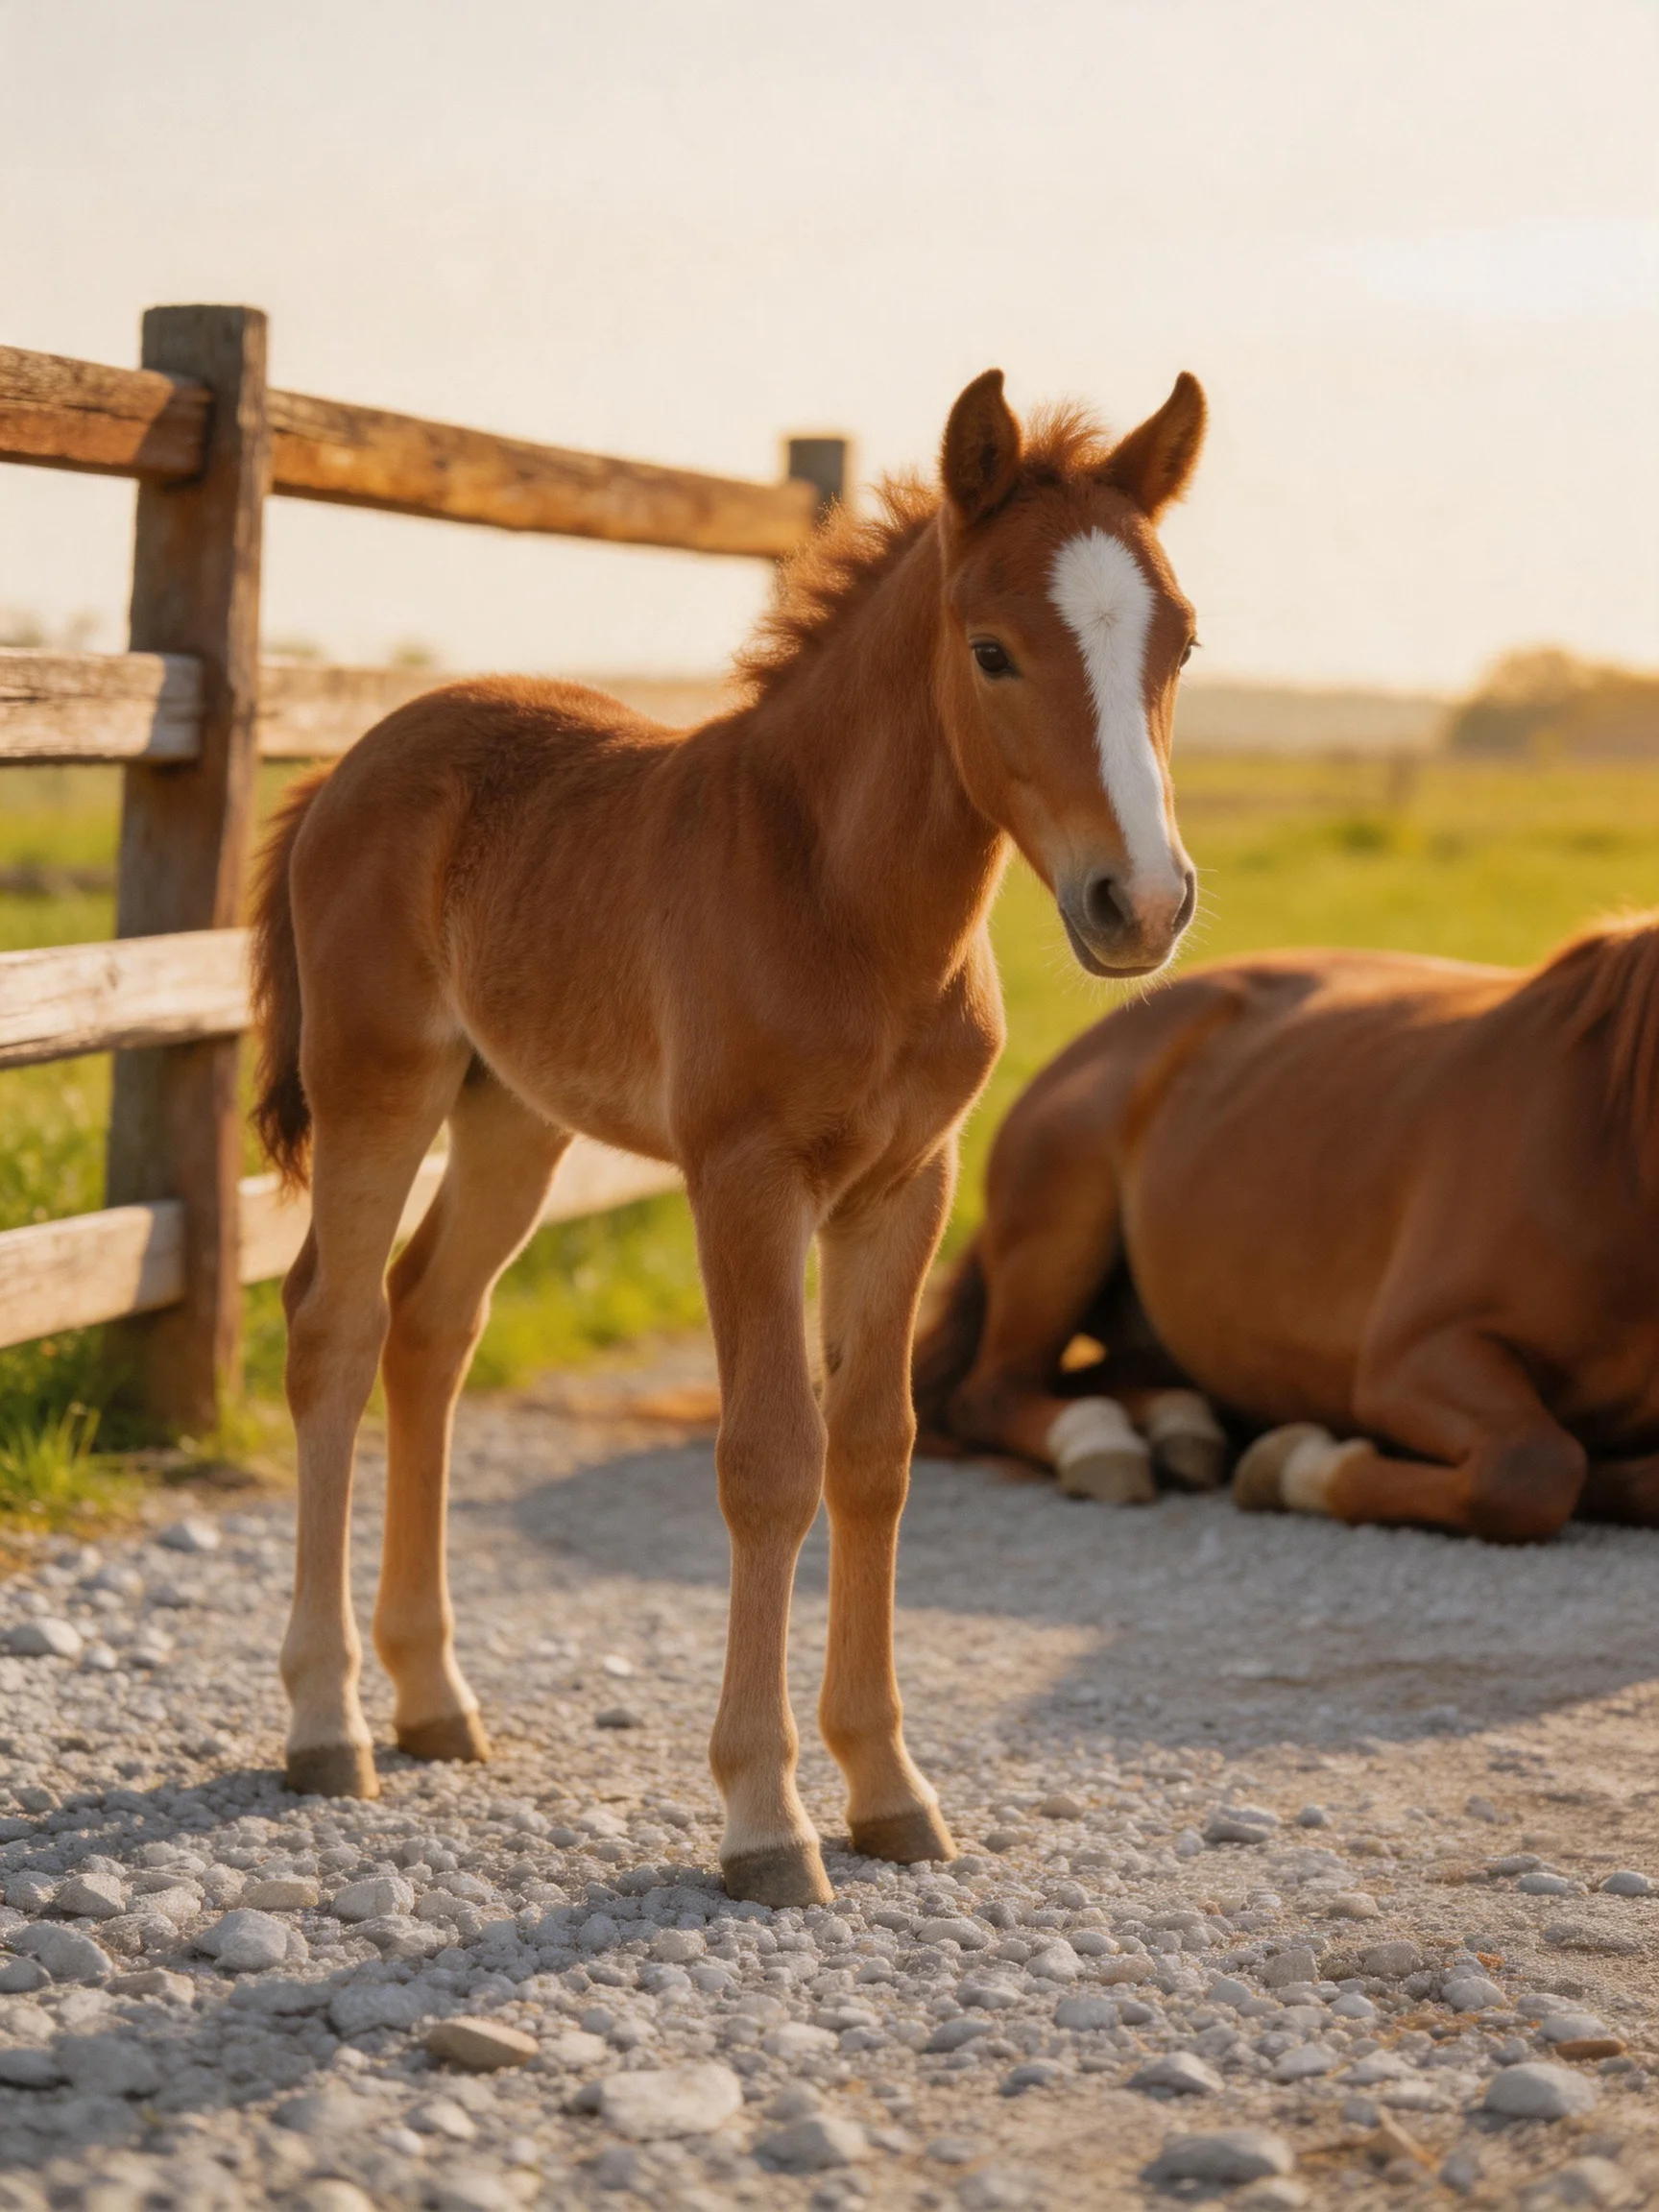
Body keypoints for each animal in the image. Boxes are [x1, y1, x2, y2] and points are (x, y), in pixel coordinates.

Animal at [248, 365, 1208, 1905]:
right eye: (993, 650)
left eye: (1180, 641)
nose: (1144, 905)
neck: (840, 899)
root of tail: (351, 761)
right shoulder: (744, 1181)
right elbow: (769, 1460)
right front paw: (766, 1818)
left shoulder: (906, 1186)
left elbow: (875, 1451)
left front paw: (890, 1791)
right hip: (378, 1086)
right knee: (334, 1328)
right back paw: (327, 1723)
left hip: (513, 1118)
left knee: (431, 1327)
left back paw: (434, 1701)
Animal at [914, 917, 1659, 1543]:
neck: (1611, 1146)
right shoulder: (1410, 1359)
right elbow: (1535, 1469)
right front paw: (1297, 1465)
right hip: (1057, 1239)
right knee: (991, 1394)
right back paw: (1105, 1444)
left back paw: (1183, 1428)